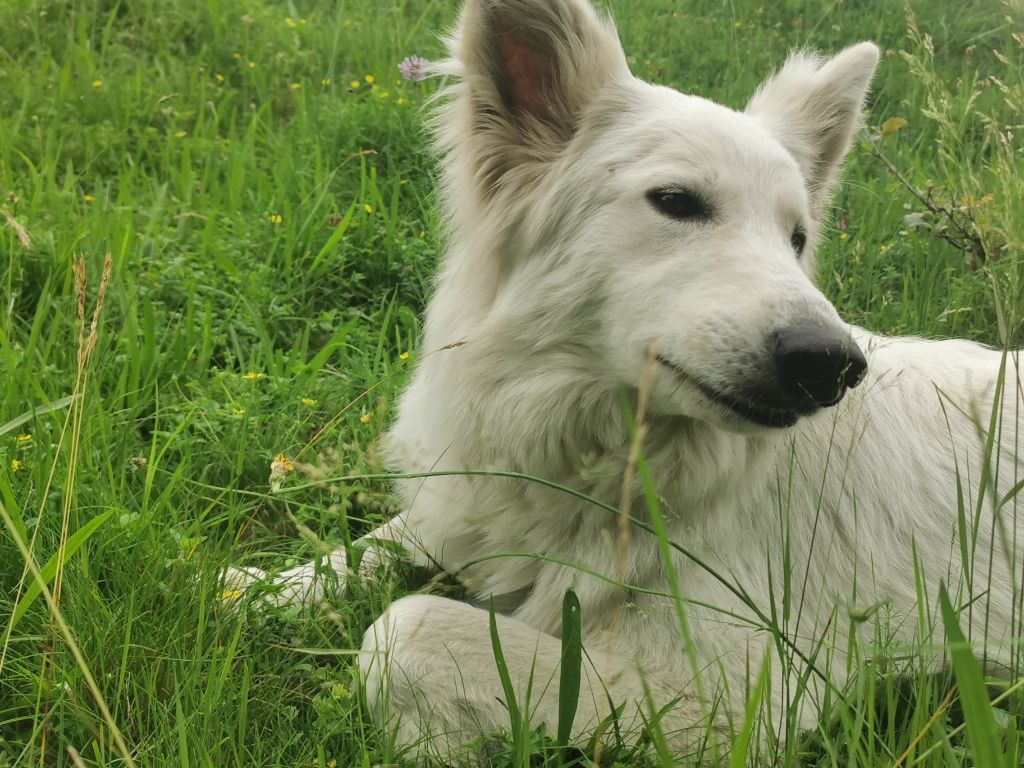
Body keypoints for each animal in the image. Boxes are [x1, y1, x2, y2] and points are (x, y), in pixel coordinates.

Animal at [228, 0, 1019, 761]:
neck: (622, 472)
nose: (834, 365)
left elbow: (403, 629)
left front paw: (432, 740)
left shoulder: (725, 692)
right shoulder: (477, 503)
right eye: (676, 200)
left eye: (795, 240)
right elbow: (390, 538)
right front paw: (259, 589)